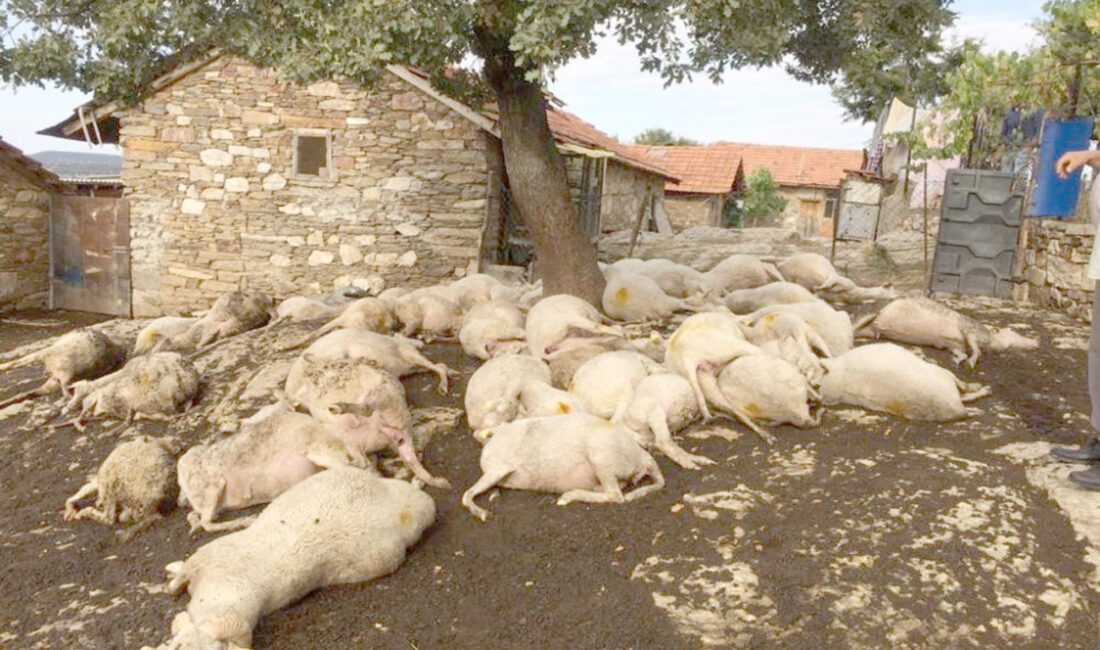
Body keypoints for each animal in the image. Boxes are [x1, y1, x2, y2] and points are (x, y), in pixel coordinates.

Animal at [159, 468, 433, 650]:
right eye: (179, 647)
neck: (225, 588)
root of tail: (401, 510)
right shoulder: (202, 559)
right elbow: (179, 578)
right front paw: (172, 579)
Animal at [462, 417, 664, 523]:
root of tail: (643, 459)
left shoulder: (497, 469)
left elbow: (466, 496)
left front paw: (483, 514)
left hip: (601, 459)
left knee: (615, 496)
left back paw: (567, 496)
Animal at [849, 296, 1038, 369]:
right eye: (1012, 331)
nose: (1037, 342)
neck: (991, 340)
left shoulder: (955, 345)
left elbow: (961, 351)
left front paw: (959, 360)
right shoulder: (969, 327)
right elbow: (975, 347)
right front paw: (971, 363)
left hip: (869, 330)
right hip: (871, 312)